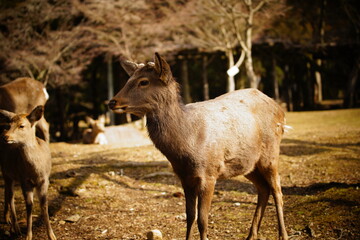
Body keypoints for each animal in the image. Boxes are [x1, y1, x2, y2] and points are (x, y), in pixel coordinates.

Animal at [0, 105, 56, 240]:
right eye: (9, 125)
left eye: (22, 125)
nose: (5, 137)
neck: (35, 171)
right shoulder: (24, 180)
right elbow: (29, 205)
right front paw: (28, 236)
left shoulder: (45, 180)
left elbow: (44, 205)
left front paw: (51, 235)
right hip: (6, 171)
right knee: (10, 196)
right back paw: (15, 227)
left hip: (11, 175)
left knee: (7, 192)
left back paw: (7, 219)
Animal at [107, 53, 290, 240]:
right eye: (129, 79)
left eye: (143, 81)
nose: (112, 102)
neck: (187, 144)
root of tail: (280, 110)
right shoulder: (184, 176)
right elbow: (190, 216)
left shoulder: (209, 174)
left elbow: (203, 220)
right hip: (248, 164)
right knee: (263, 189)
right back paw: (251, 235)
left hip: (271, 154)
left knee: (277, 190)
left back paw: (283, 235)